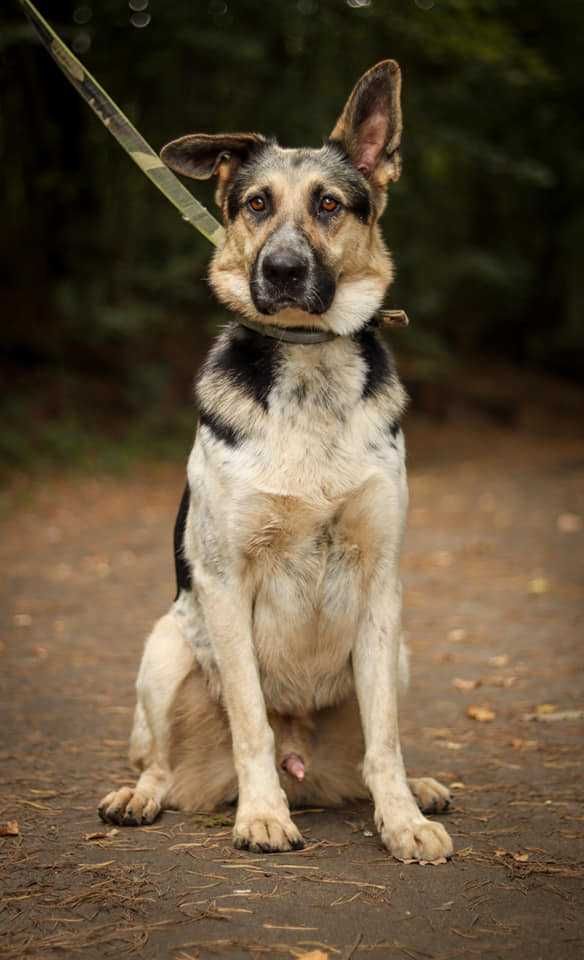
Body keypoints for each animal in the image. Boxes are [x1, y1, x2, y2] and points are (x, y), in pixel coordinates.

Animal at [98, 60, 454, 864]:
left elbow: (385, 741)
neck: (309, 361)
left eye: (329, 204)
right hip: (166, 649)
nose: (284, 270)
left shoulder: (380, 582)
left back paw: (415, 789)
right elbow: (250, 721)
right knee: (164, 761)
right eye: (256, 204)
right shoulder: (226, 583)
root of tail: (308, 765)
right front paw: (262, 815)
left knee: (368, 753)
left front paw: (402, 820)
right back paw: (143, 795)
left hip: (399, 653)